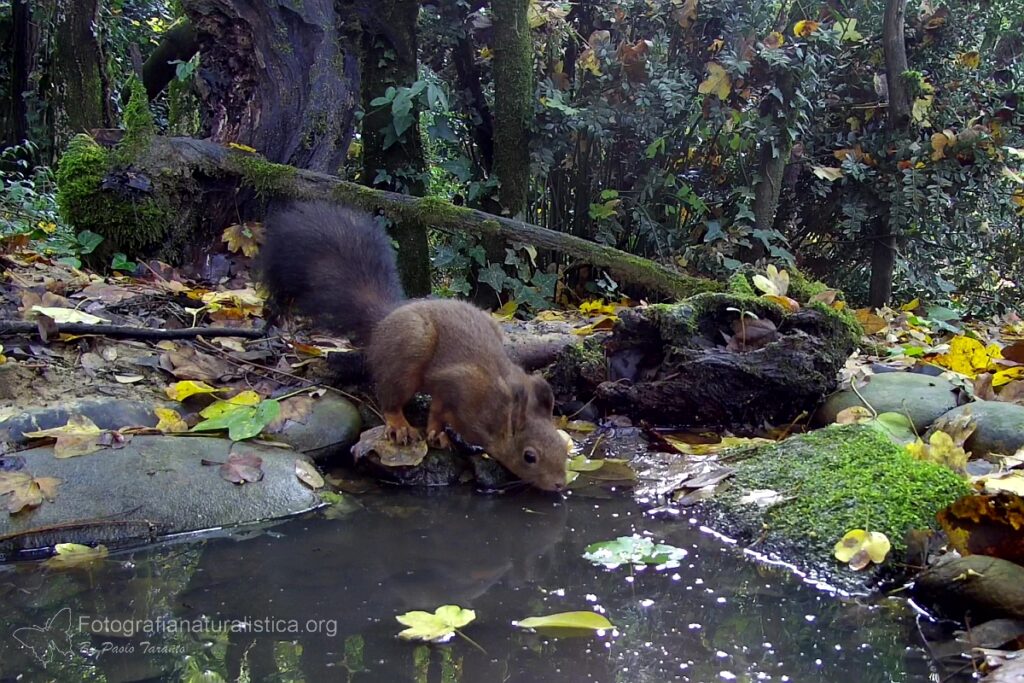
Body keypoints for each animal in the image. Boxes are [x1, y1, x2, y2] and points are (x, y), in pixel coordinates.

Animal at [260, 200, 568, 492]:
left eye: (563, 446)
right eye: (529, 456)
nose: (559, 484)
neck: (497, 406)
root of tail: (385, 320)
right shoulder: (454, 381)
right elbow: (439, 408)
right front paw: (437, 432)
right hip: (409, 351)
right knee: (390, 397)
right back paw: (399, 425)